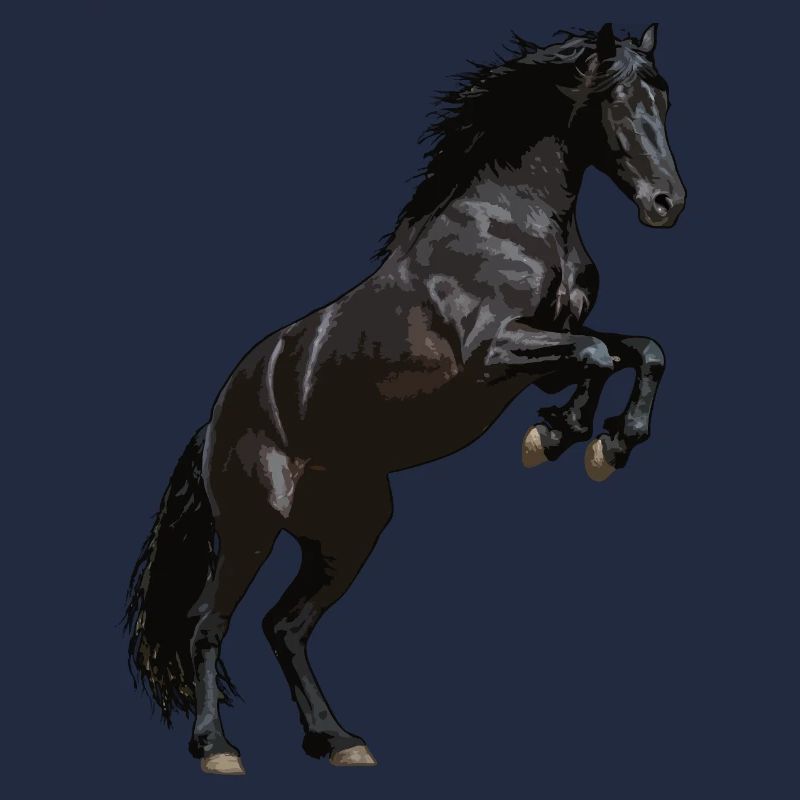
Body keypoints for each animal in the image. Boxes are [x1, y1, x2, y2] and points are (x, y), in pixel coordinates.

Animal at [125, 22, 685, 774]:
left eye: (665, 98)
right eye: (618, 101)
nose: (667, 204)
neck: (513, 220)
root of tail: (213, 424)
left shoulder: (548, 352)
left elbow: (641, 350)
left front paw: (603, 442)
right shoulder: (493, 356)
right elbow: (600, 357)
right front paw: (560, 438)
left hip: (349, 529)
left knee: (285, 626)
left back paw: (337, 742)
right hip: (251, 526)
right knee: (208, 624)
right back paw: (217, 749)